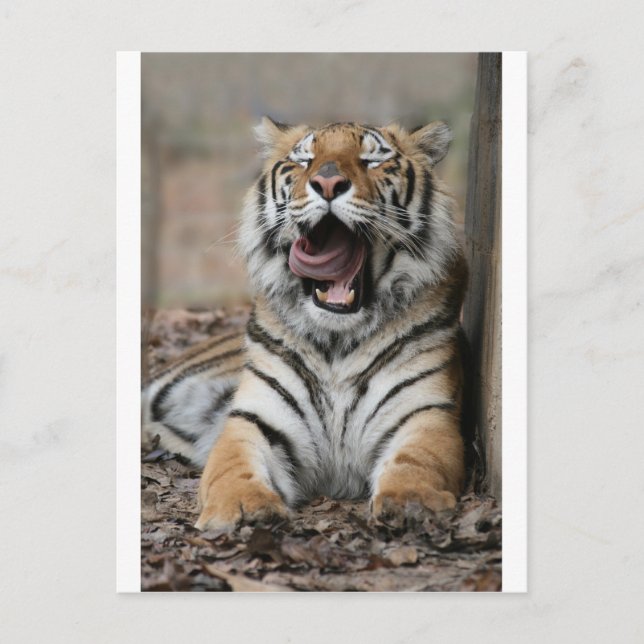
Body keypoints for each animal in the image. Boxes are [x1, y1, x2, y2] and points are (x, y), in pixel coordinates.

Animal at [142, 117, 468, 530]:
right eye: (304, 160)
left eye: (372, 160)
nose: (328, 183)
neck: (338, 339)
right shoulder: (255, 418)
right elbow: (232, 466)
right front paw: (243, 508)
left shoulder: (425, 412)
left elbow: (416, 461)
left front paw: (411, 503)